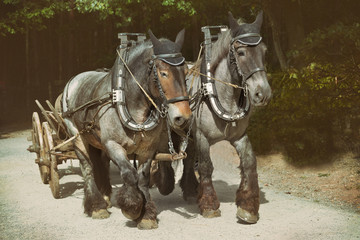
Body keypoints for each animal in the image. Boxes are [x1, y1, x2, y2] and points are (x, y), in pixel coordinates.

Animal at [60, 29, 193, 229]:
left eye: (185, 71)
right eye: (163, 73)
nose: (183, 117)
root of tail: (73, 80)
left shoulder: (148, 149)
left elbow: (143, 177)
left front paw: (147, 215)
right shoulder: (113, 144)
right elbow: (130, 174)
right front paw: (132, 207)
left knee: (100, 164)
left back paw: (105, 196)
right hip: (76, 134)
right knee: (87, 167)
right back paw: (96, 206)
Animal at [156, 11, 272, 224]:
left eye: (264, 51)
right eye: (241, 52)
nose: (263, 93)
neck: (221, 95)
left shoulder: (239, 136)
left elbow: (249, 162)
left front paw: (248, 207)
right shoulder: (202, 136)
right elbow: (206, 166)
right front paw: (210, 204)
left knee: (188, 156)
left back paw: (190, 190)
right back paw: (163, 181)